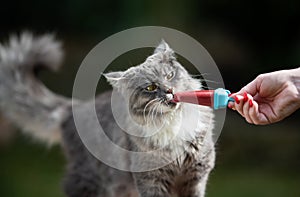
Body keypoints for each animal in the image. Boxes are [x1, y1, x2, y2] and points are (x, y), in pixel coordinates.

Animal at [0, 32, 216, 197]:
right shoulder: (151, 180)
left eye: (169, 76)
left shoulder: (196, 176)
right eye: (151, 87)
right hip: (89, 182)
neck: (172, 123)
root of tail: (73, 108)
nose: (170, 91)